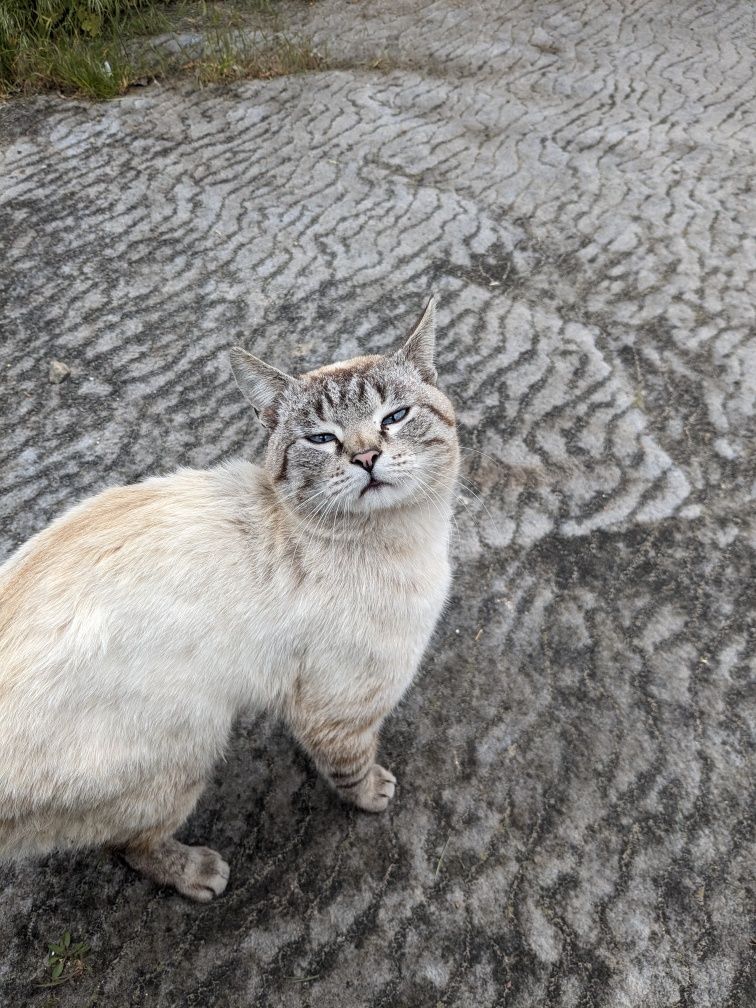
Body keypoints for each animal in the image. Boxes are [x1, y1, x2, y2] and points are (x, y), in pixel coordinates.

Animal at [0, 294, 455, 903]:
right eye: (322, 439)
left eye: (394, 417)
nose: (365, 457)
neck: (404, 541)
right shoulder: (337, 710)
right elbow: (351, 768)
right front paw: (372, 795)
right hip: (188, 747)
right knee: (129, 845)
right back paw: (197, 872)